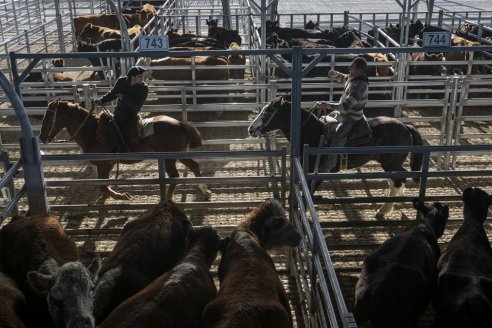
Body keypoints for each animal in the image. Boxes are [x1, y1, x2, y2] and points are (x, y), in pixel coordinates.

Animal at [37, 98, 209, 204]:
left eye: (48, 117)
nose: (42, 136)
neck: (92, 132)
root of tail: (181, 124)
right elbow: (103, 185)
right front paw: (104, 198)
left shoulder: (104, 165)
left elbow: (103, 185)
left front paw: (121, 196)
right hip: (179, 155)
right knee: (194, 166)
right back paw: (204, 190)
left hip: (169, 159)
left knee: (174, 176)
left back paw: (167, 199)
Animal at [248, 96, 424, 217]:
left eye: (267, 112)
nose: (251, 129)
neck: (313, 132)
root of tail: (405, 127)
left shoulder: (317, 173)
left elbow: (308, 194)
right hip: (391, 164)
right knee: (398, 180)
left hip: (390, 164)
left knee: (398, 180)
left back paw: (383, 210)